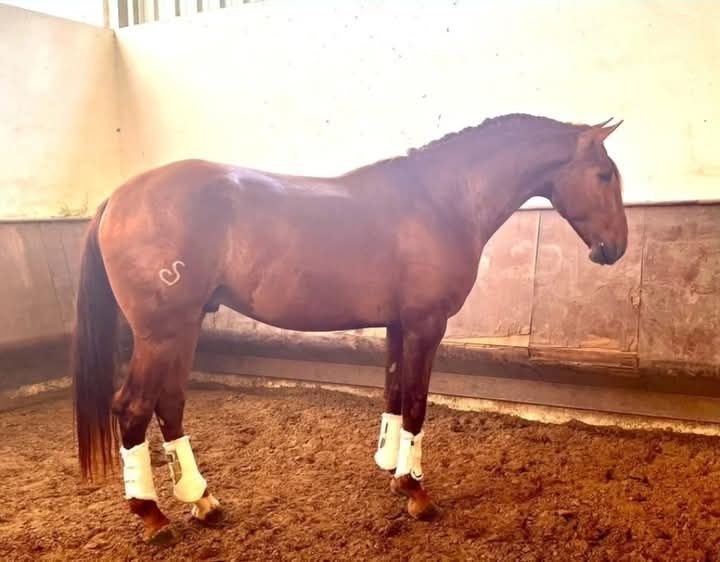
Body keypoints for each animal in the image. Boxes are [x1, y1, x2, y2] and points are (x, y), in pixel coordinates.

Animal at [71, 113, 627, 545]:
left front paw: (394, 473)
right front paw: (417, 492)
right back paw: (152, 516)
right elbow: (417, 404)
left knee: (169, 405)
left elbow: (396, 395)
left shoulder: (399, 325)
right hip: (161, 333)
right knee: (133, 409)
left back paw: (202, 501)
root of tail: (117, 198)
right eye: (603, 175)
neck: (440, 199)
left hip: (183, 330)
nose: (616, 249)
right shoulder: (426, 324)